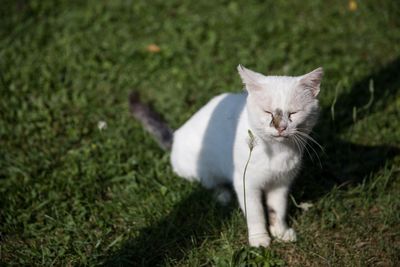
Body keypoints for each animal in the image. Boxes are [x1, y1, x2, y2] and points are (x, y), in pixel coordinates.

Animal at [130, 64, 324, 247]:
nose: (281, 127)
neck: (277, 151)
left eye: (293, 113)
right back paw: (222, 195)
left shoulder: (281, 184)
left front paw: (281, 232)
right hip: (202, 170)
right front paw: (259, 238)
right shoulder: (245, 183)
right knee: (209, 183)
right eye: (268, 112)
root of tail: (175, 136)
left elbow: (277, 209)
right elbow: (255, 213)